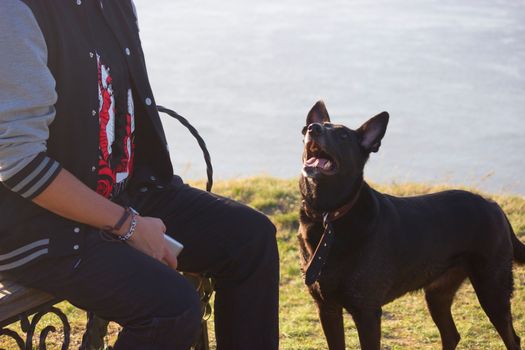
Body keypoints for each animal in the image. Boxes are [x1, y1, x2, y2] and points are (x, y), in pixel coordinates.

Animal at [298, 100, 524, 348]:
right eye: (309, 128)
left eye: (343, 136)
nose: (313, 128)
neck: (328, 216)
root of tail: (494, 206)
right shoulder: (326, 307)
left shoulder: (366, 311)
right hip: (438, 293)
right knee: (451, 334)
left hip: (492, 288)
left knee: (512, 338)